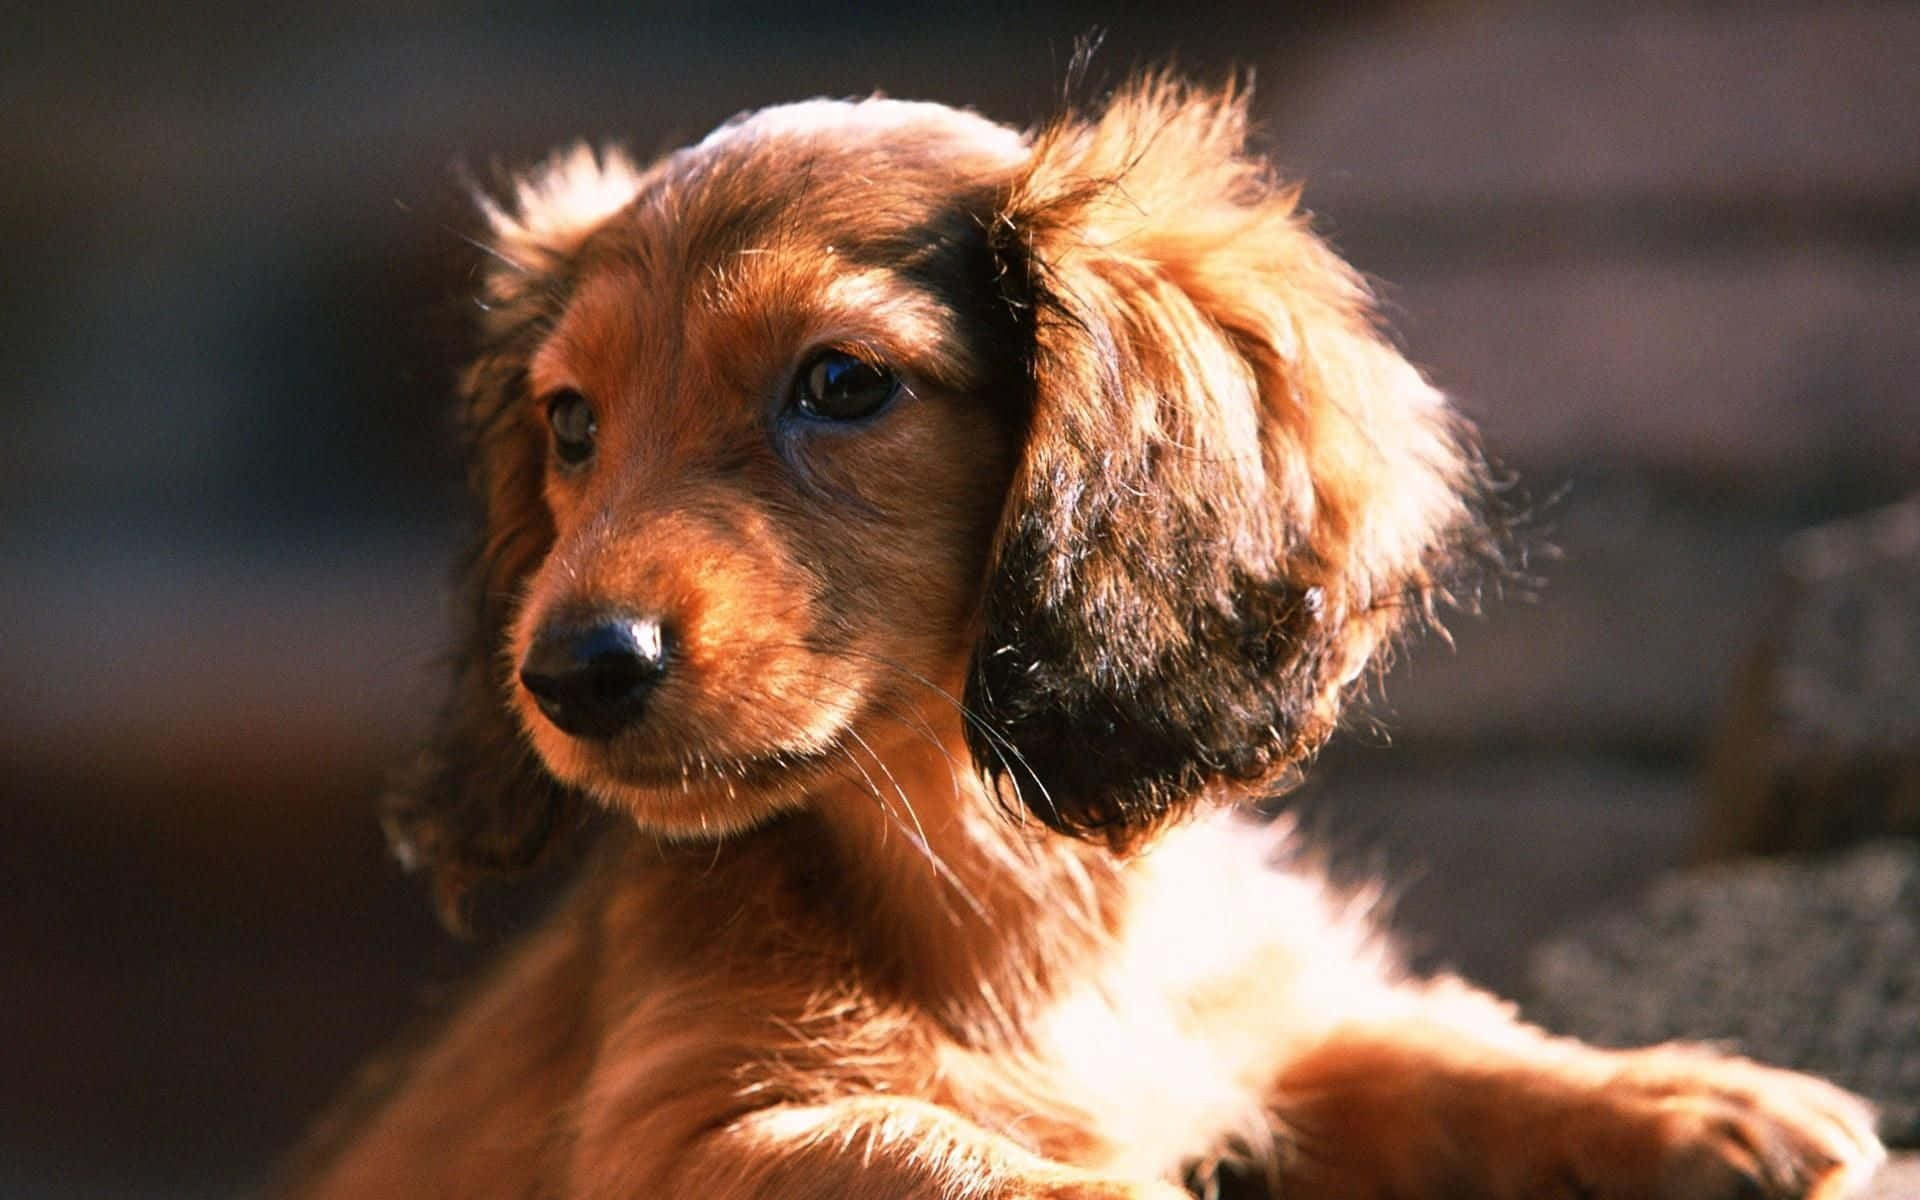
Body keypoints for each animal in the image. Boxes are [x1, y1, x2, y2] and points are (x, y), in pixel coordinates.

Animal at [288, 79, 1889, 1190]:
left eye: (841, 384)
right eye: (570, 424)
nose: (571, 673)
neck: (1016, 898)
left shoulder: (1254, 1021)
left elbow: (1419, 1041)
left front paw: (1687, 1097)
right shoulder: (699, 1128)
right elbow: (978, 1162)